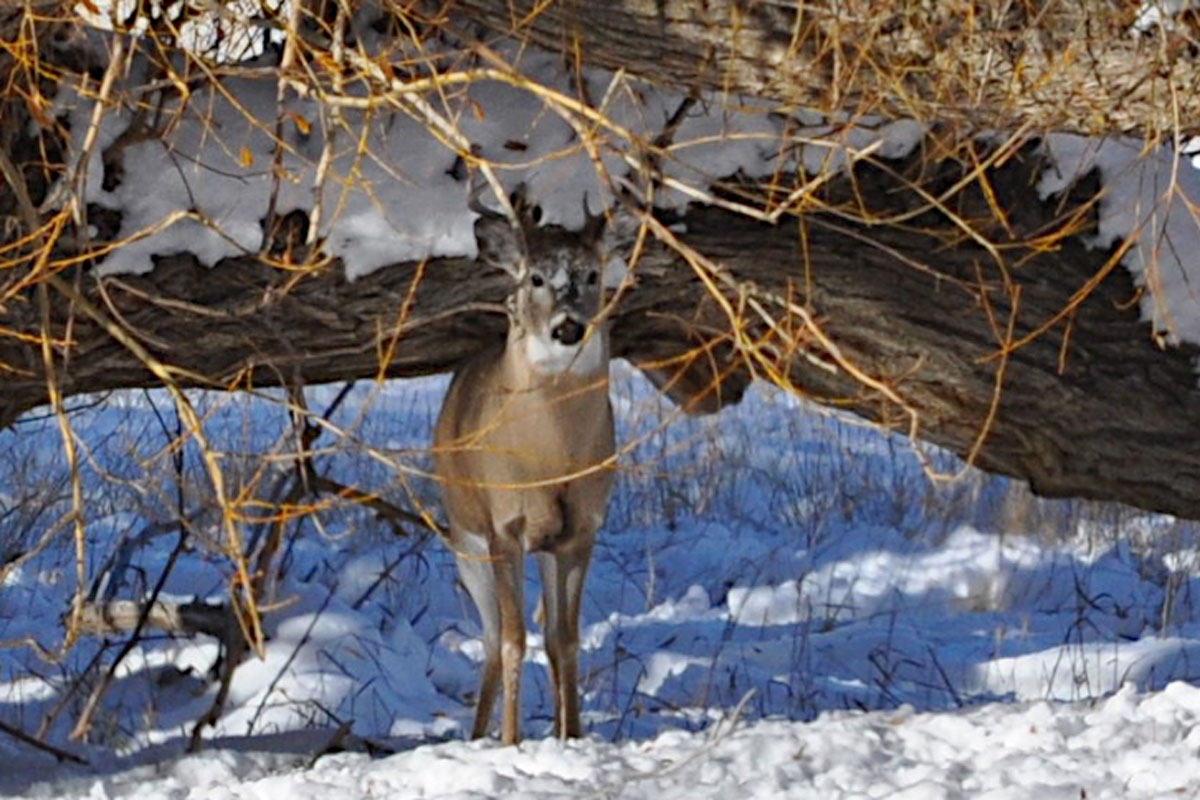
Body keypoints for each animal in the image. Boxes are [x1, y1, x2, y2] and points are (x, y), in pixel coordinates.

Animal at [432, 188, 624, 743]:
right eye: (535, 278)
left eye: (592, 274)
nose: (568, 326)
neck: (549, 460)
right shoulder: (503, 527)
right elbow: (515, 640)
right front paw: (511, 740)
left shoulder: (582, 529)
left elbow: (565, 640)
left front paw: (572, 735)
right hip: (464, 541)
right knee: (493, 638)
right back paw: (478, 735)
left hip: (542, 548)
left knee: (544, 631)